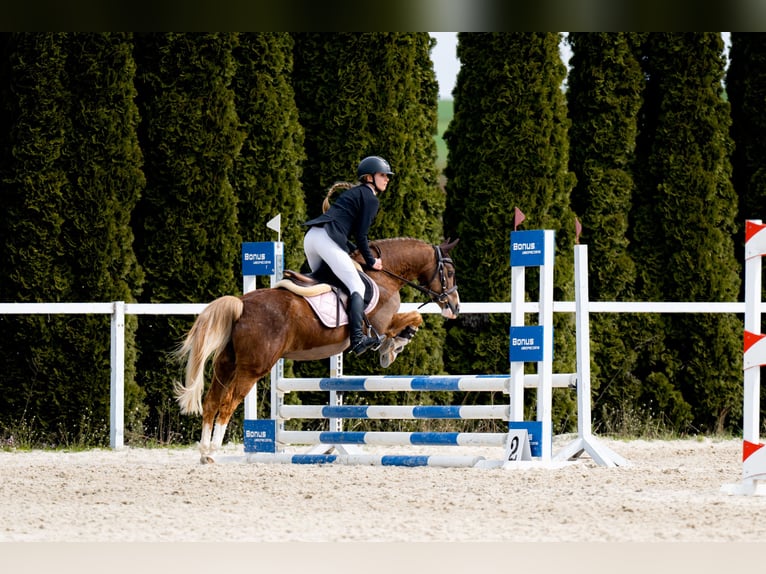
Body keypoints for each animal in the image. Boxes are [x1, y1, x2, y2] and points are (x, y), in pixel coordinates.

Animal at [173, 237, 460, 463]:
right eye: (449, 272)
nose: (454, 307)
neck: (384, 274)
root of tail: (242, 303)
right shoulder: (384, 323)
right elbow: (414, 318)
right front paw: (392, 348)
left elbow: (413, 318)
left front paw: (391, 349)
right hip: (253, 368)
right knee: (227, 403)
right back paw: (213, 451)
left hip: (227, 362)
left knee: (211, 401)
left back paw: (203, 451)